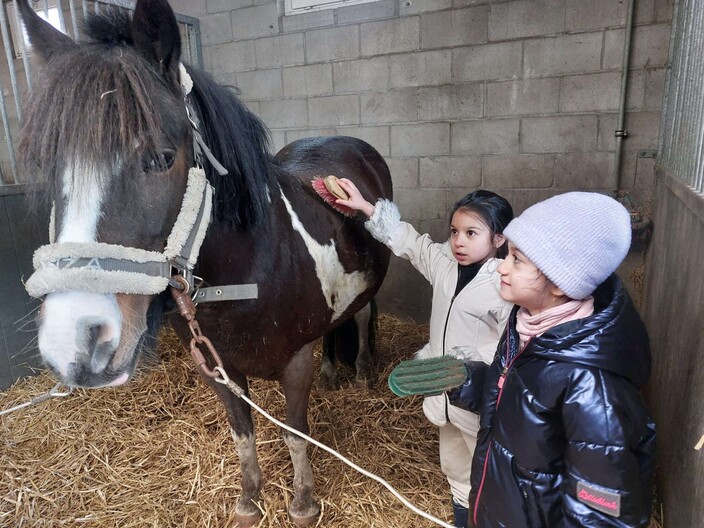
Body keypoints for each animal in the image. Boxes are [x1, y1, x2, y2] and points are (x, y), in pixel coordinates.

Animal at [17, 0, 390, 524]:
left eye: (160, 158)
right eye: (51, 168)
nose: (76, 341)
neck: (249, 270)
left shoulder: (296, 362)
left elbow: (295, 434)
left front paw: (302, 503)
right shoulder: (219, 368)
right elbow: (243, 434)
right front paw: (250, 501)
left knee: (360, 316)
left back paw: (360, 373)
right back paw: (335, 374)